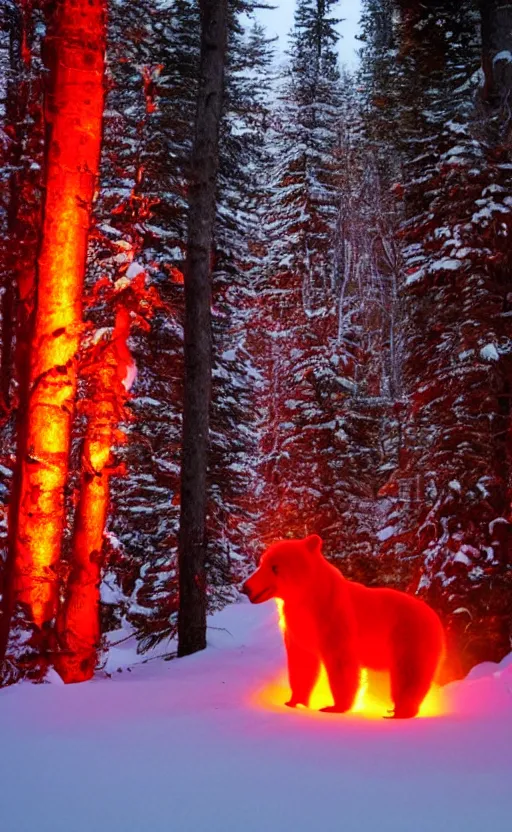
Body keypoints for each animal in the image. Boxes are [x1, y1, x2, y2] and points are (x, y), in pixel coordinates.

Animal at [242, 536, 446, 720]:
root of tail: (435, 618)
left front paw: (334, 706)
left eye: (274, 567)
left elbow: (341, 662)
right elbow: (302, 660)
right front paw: (294, 701)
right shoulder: (298, 627)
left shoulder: (335, 619)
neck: (310, 600)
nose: (246, 587)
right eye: (262, 563)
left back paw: (401, 711)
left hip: (409, 637)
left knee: (408, 673)